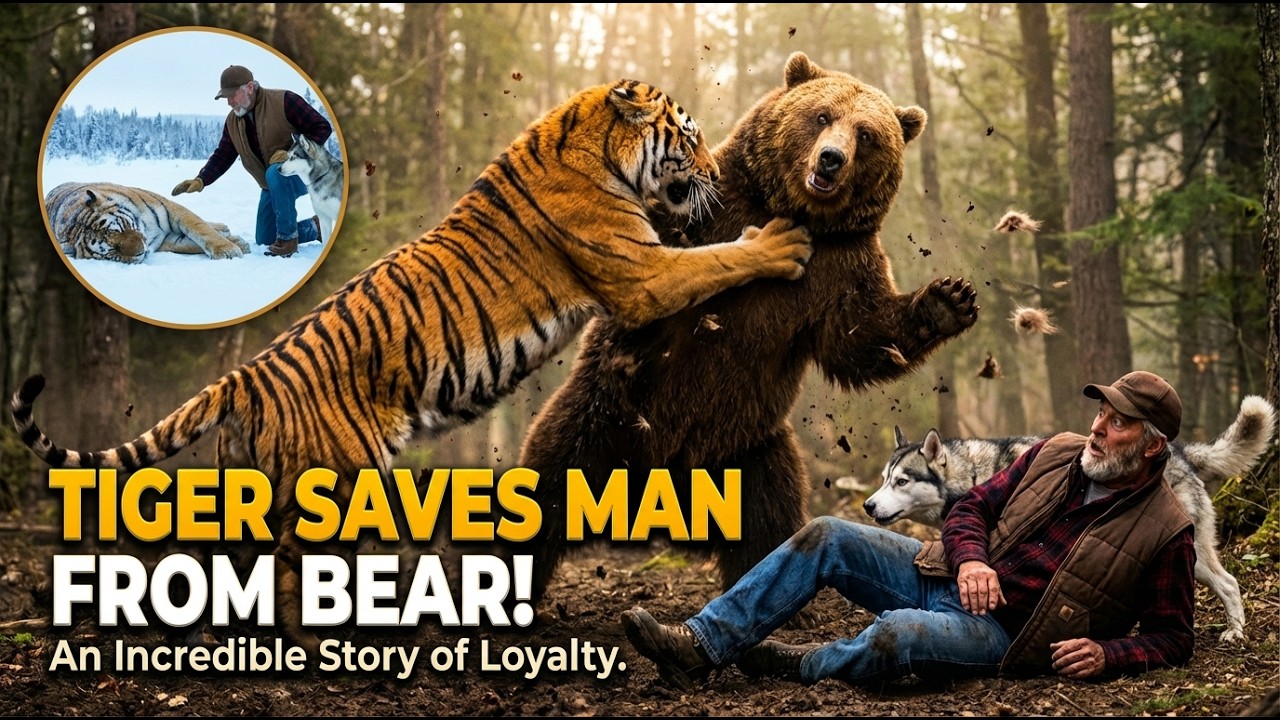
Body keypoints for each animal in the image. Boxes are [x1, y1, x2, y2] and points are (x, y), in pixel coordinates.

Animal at [44, 181, 250, 263]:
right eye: (112, 251)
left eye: (121, 229)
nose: (140, 251)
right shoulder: (168, 240)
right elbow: (190, 244)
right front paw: (237, 245)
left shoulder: (172, 209)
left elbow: (200, 228)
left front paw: (229, 250)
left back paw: (223, 227)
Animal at [863, 395, 1277, 643]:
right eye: (883, 478)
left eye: (901, 481)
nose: (867, 506)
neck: (973, 475)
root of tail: (1181, 452)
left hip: (1195, 559)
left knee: (1229, 584)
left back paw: (1235, 633)